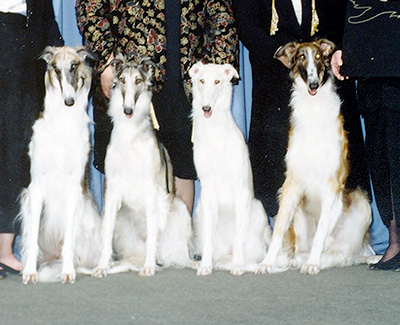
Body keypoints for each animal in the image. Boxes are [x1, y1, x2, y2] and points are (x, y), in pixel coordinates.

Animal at [20, 46, 101, 284]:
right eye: (56, 69)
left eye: (74, 66)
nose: (69, 101)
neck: (63, 123)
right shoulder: (36, 187)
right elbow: (33, 239)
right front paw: (30, 273)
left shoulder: (73, 188)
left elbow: (68, 241)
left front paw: (68, 272)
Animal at [91, 55, 191, 276]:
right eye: (121, 79)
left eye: (138, 80)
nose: (127, 110)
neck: (130, 133)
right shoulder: (112, 189)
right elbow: (106, 234)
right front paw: (101, 266)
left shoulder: (151, 189)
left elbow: (153, 231)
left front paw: (149, 267)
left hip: (178, 208)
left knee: (176, 255)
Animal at [191, 62, 272, 274]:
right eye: (201, 80)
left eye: (217, 81)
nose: (206, 108)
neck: (215, 134)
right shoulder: (208, 192)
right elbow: (208, 241)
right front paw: (205, 266)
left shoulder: (241, 192)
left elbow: (238, 237)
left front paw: (237, 266)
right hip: (199, 211)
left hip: (257, 209)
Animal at [255, 39, 376, 274]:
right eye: (301, 57)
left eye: (319, 57)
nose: (313, 85)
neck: (314, 109)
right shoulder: (292, 181)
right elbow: (279, 228)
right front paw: (266, 263)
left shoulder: (332, 184)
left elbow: (321, 231)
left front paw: (312, 264)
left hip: (361, 202)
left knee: (342, 254)